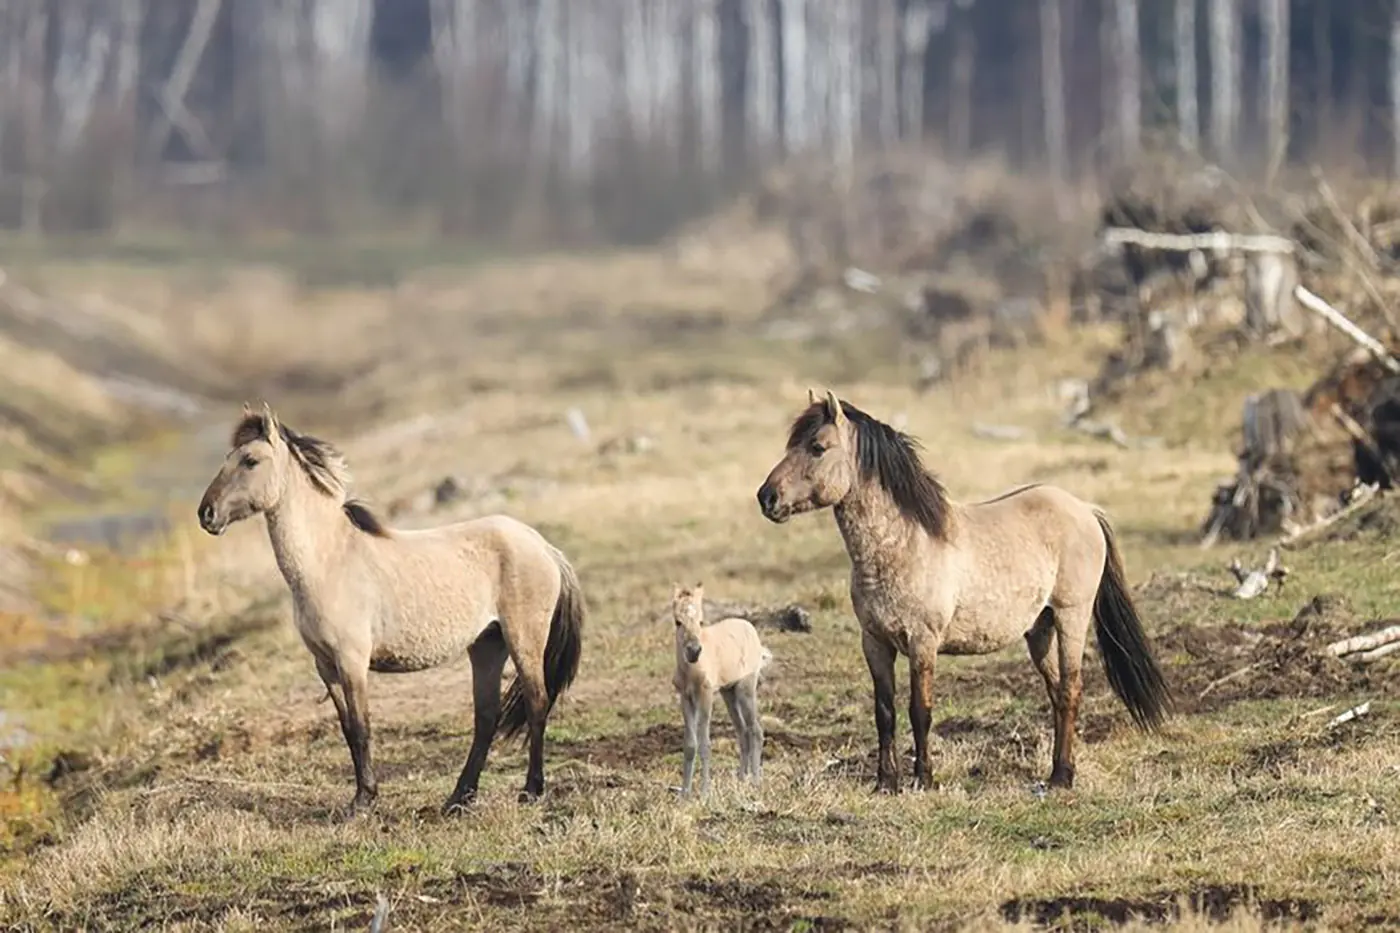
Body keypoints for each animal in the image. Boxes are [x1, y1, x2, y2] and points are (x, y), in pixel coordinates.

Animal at [197, 403, 585, 817]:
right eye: (228, 458)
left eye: (250, 461)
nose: (207, 513)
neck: (327, 561)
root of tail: (543, 546)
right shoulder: (326, 666)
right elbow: (348, 730)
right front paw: (362, 796)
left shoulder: (351, 661)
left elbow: (362, 727)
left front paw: (363, 801)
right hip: (486, 646)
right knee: (486, 717)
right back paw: (458, 799)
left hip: (523, 639)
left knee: (537, 702)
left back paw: (531, 790)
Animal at [671, 583, 771, 796]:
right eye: (677, 622)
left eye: (700, 621)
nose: (693, 651)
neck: (691, 671)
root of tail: (751, 629)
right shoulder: (685, 697)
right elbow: (690, 744)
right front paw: (684, 794)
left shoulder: (706, 695)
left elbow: (705, 744)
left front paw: (704, 793)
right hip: (729, 693)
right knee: (742, 732)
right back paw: (742, 779)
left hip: (745, 689)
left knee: (755, 730)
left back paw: (755, 782)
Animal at [755, 390, 1171, 794]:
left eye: (817, 447)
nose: (767, 498)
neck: (904, 544)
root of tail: (1086, 510)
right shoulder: (874, 642)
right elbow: (884, 712)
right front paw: (885, 784)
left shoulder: (922, 642)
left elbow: (920, 710)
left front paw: (923, 780)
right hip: (1040, 629)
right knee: (1056, 693)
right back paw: (1056, 771)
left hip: (1072, 616)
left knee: (1070, 690)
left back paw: (1061, 778)